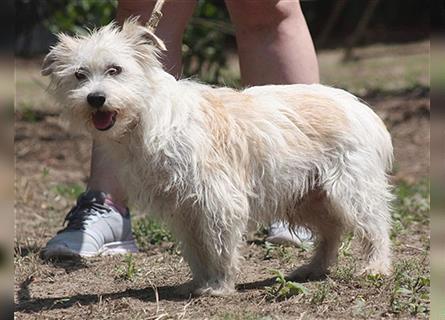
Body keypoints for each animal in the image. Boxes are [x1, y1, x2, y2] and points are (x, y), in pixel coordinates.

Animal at [41, 19, 392, 296]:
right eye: (79, 75)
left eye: (115, 70)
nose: (95, 98)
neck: (146, 117)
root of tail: (362, 108)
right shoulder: (183, 208)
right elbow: (196, 249)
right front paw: (199, 283)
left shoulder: (217, 200)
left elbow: (219, 246)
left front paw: (220, 285)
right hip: (306, 197)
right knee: (331, 232)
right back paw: (314, 268)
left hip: (349, 190)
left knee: (375, 227)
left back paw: (375, 267)